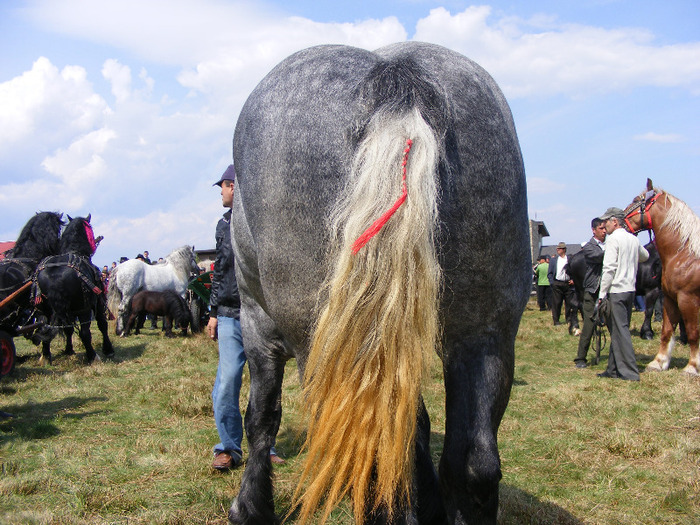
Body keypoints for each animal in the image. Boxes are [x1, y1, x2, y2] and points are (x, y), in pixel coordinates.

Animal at [32, 215, 113, 362]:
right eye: (90, 227)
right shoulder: (98, 303)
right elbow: (102, 324)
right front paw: (108, 349)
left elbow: (68, 330)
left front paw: (69, 350)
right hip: (83, 309)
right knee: (85, 333)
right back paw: (92, 355)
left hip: (43, 310)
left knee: (44, 327)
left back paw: (45, 356)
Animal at [230, 42, 532, 524]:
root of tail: (397, 80)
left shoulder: (257, 323)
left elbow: (261, 416)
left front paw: (250, 507)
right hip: (486, 333)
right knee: (473, 463)